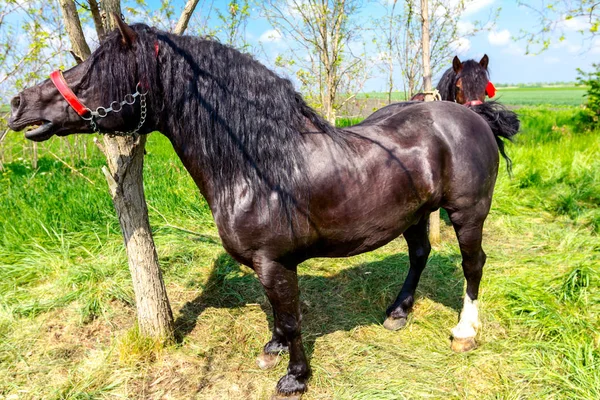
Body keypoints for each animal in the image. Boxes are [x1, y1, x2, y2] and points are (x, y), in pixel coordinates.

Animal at [7, 18, 516, 400]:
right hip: (413, 214)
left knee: (473, 265)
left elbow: (290, 317)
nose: (18, 103)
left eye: (95, 69)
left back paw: (465, 332)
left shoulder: (275, 262)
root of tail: (471, 115)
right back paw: (397, 312)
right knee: (419, 255)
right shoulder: (265, 264)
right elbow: (277, 313)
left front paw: (295, 377)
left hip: (467, 213)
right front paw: (273, 347)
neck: (259, 165)